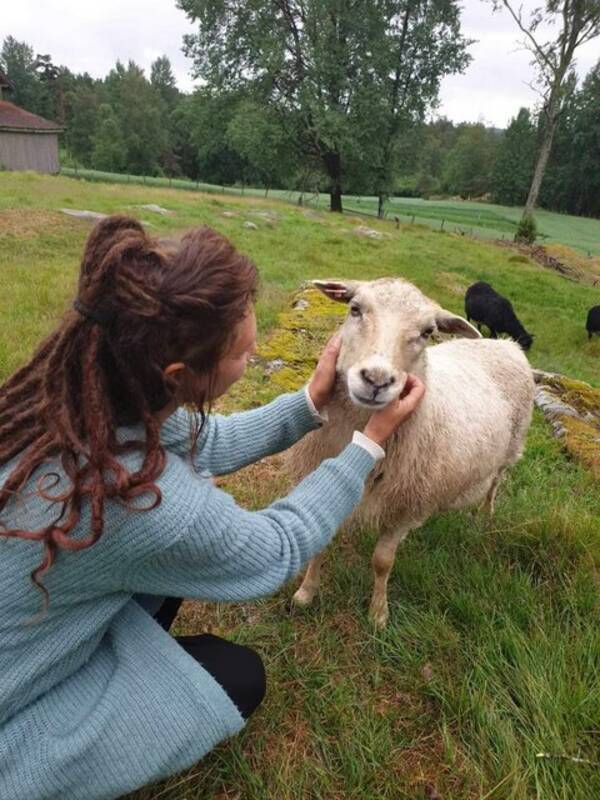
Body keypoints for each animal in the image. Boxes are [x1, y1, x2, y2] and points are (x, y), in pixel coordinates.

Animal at [290, 278, 536, 628]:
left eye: (427, 332)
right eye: (355, 309)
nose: (376, 379)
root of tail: (506, 345)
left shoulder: (404, 506)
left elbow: (382, 562)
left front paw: (378, 613)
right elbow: (320, 547)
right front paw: (306, 593)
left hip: (509, 451)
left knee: (494, 484)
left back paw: (486, 516)